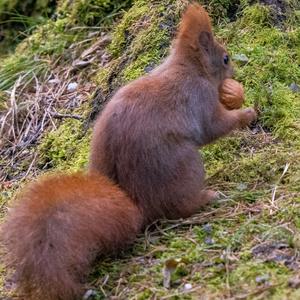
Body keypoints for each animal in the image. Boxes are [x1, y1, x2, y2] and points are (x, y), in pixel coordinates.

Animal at [1, 2, 256, 300]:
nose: (235, 73)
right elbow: (215, 127)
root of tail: (136, 203)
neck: (189, 68)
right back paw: (207, 197)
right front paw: (247, 113)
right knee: (177, 207)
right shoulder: (200, 98)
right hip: (183, 164)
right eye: (225, 58)